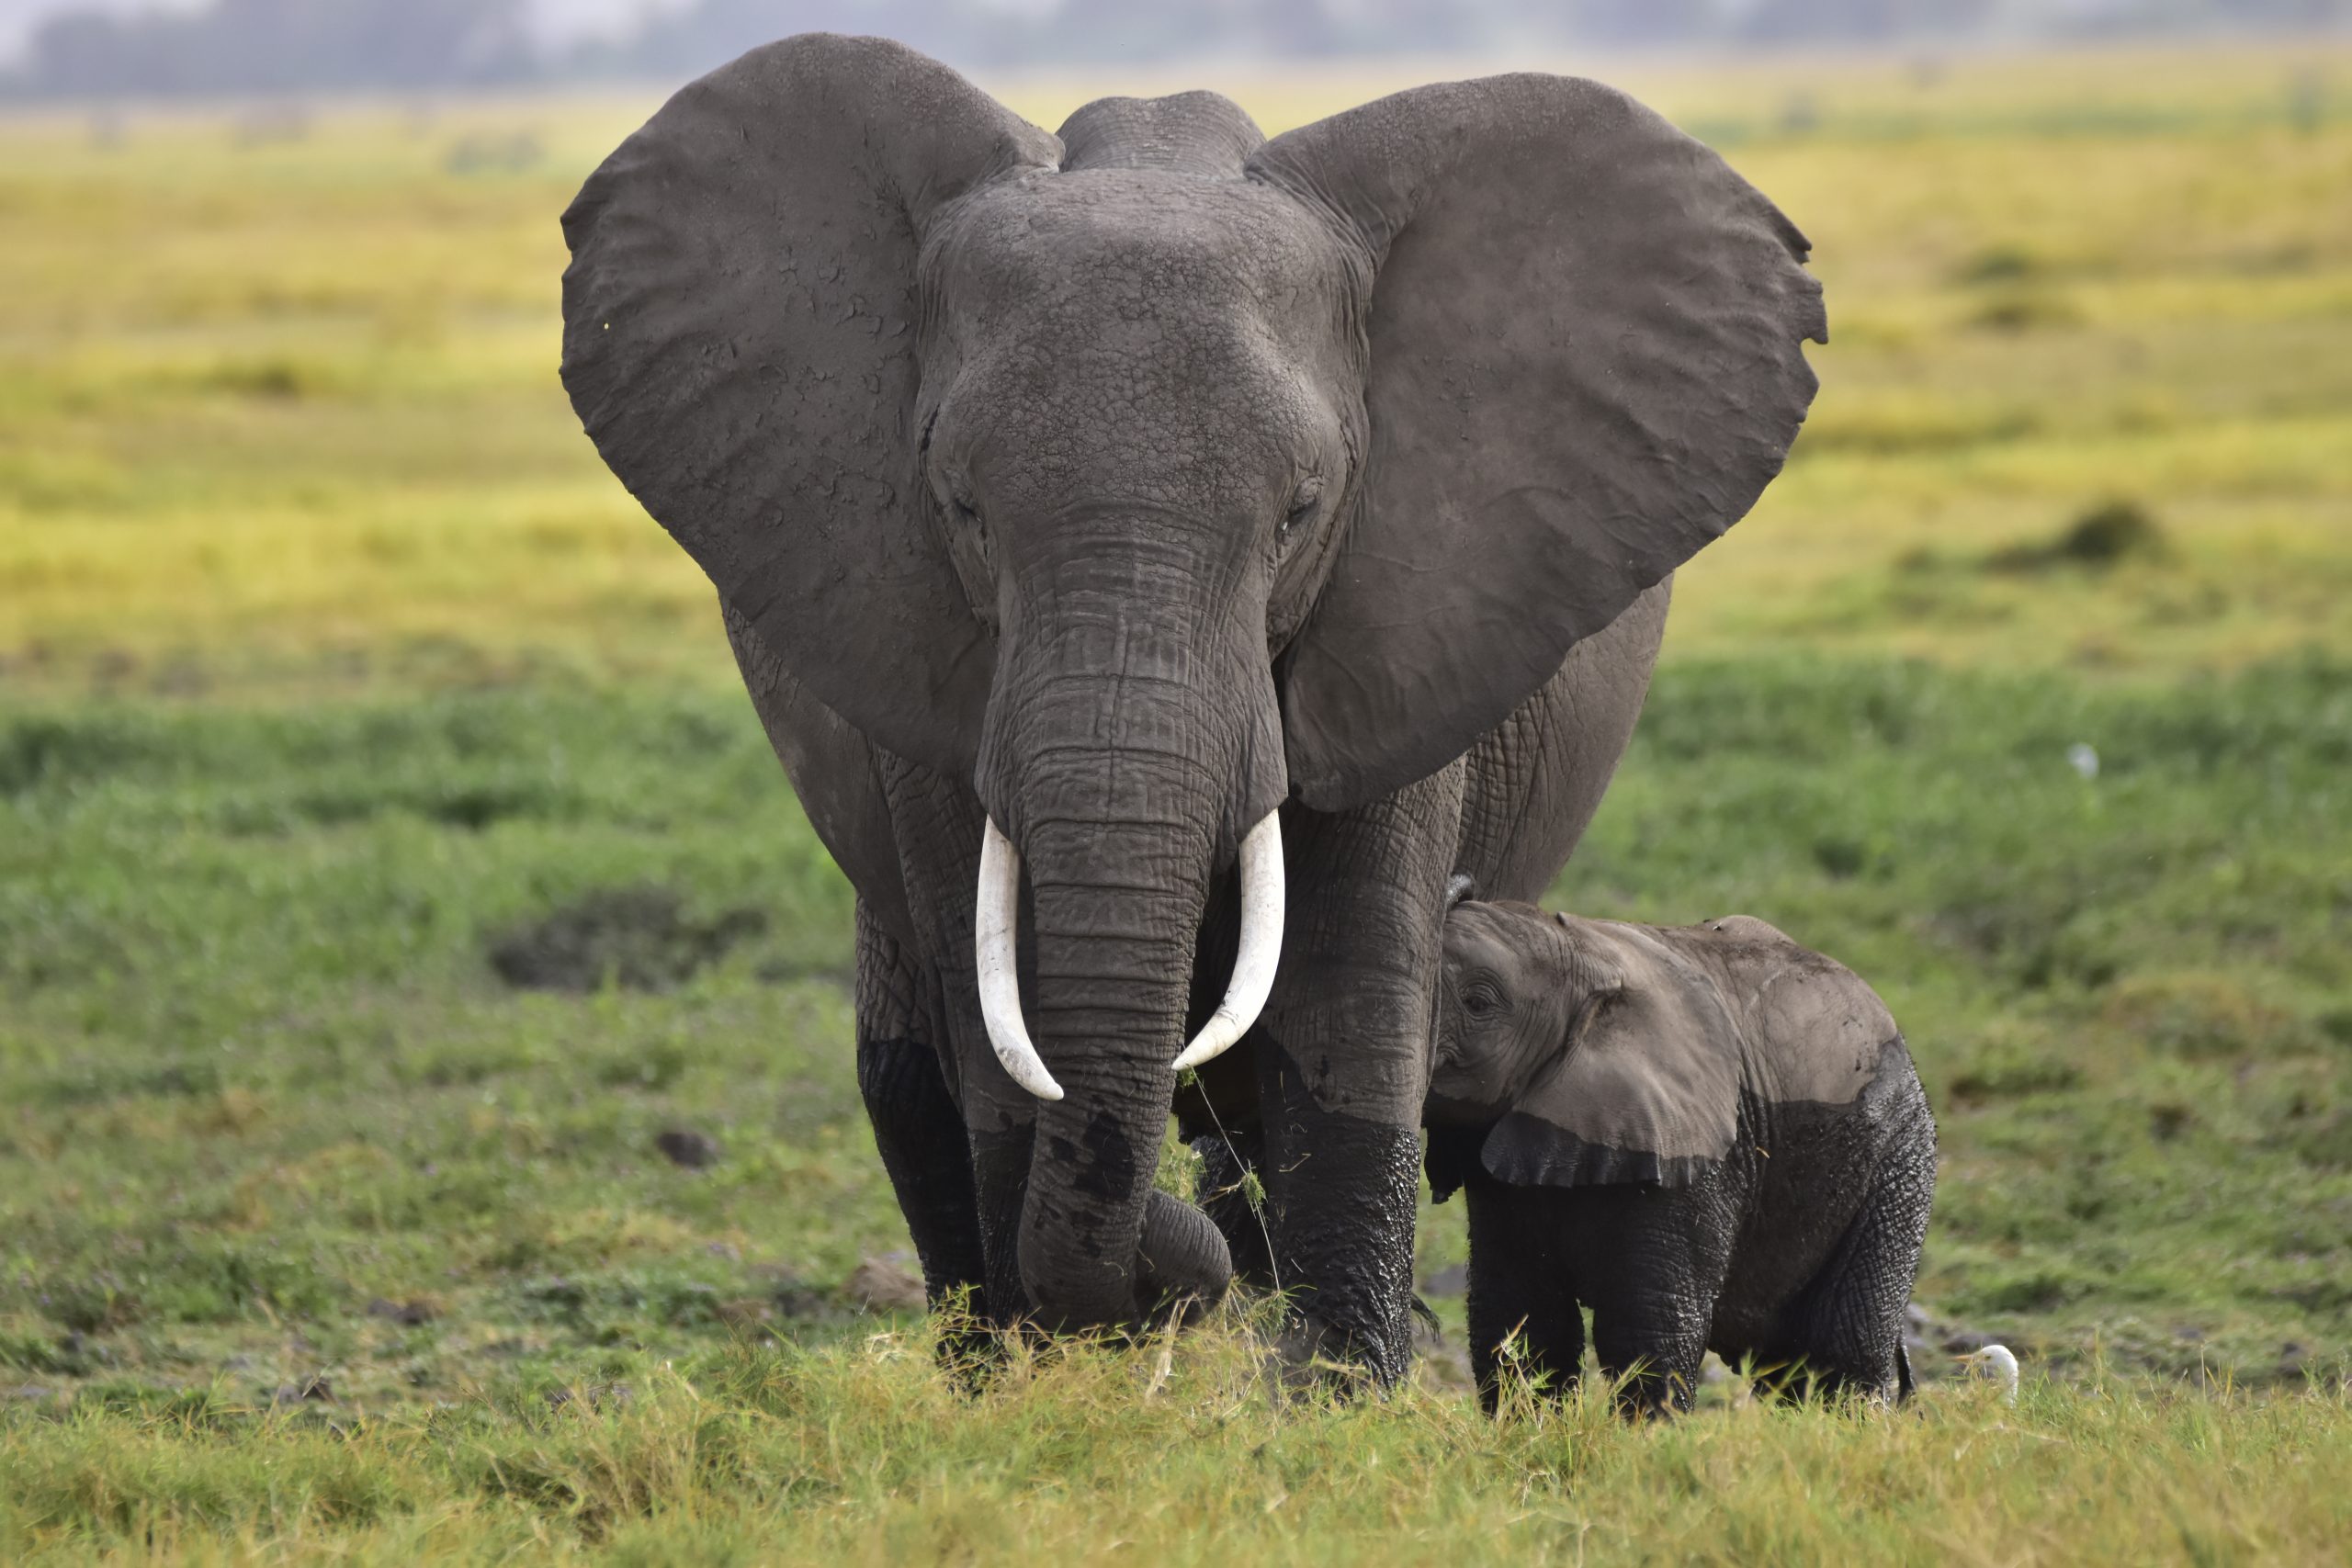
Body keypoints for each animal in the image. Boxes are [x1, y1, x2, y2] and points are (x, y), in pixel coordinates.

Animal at [555, 33, 1815, 1382]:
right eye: (961, 508)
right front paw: (1053, 1370)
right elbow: (995, 1018)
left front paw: (1336, 1392)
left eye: (1300, 513)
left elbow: (1351, 995)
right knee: (905, 1078)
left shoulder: (1401, 616)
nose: (1172, 1294)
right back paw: (989, 1348)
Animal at [1420, 888, 1938, 1419]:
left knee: (1845, 1347)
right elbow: (1522, 1315)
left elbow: (1646, 1324)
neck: (1583, 954)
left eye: (1477, 1002)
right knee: (1787, 1367)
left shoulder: (1690, 1153)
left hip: (1898, 1156)